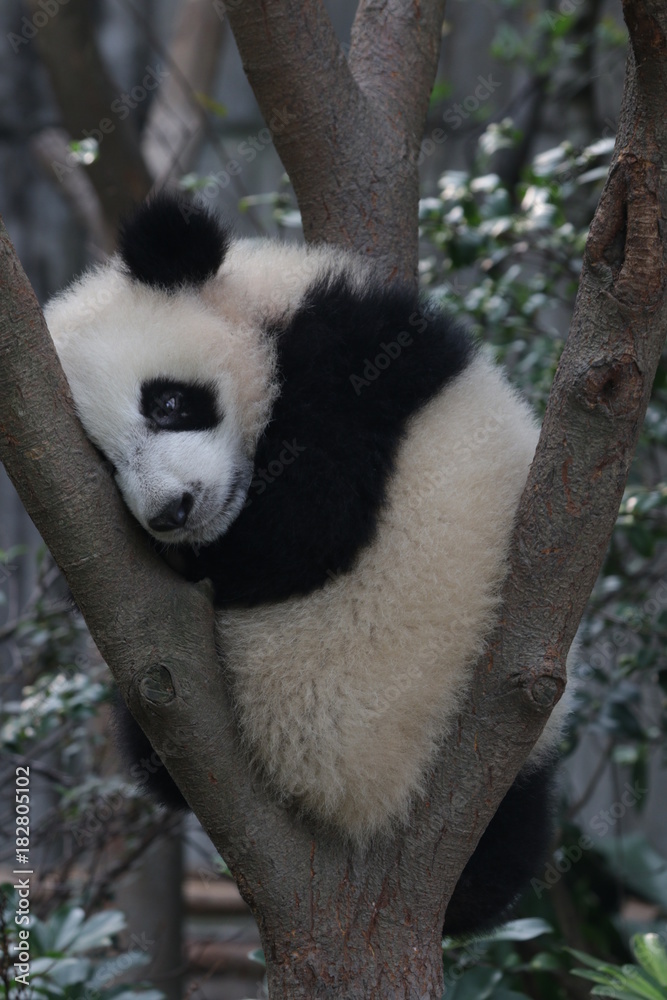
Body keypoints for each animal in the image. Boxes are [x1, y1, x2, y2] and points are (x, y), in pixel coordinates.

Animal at [44, 193, 566, 937]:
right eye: (101, 462)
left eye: (167, 403)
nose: (172, 512)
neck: (264, 310)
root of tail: (356, 798)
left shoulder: (351, 354)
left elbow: (307, 525)